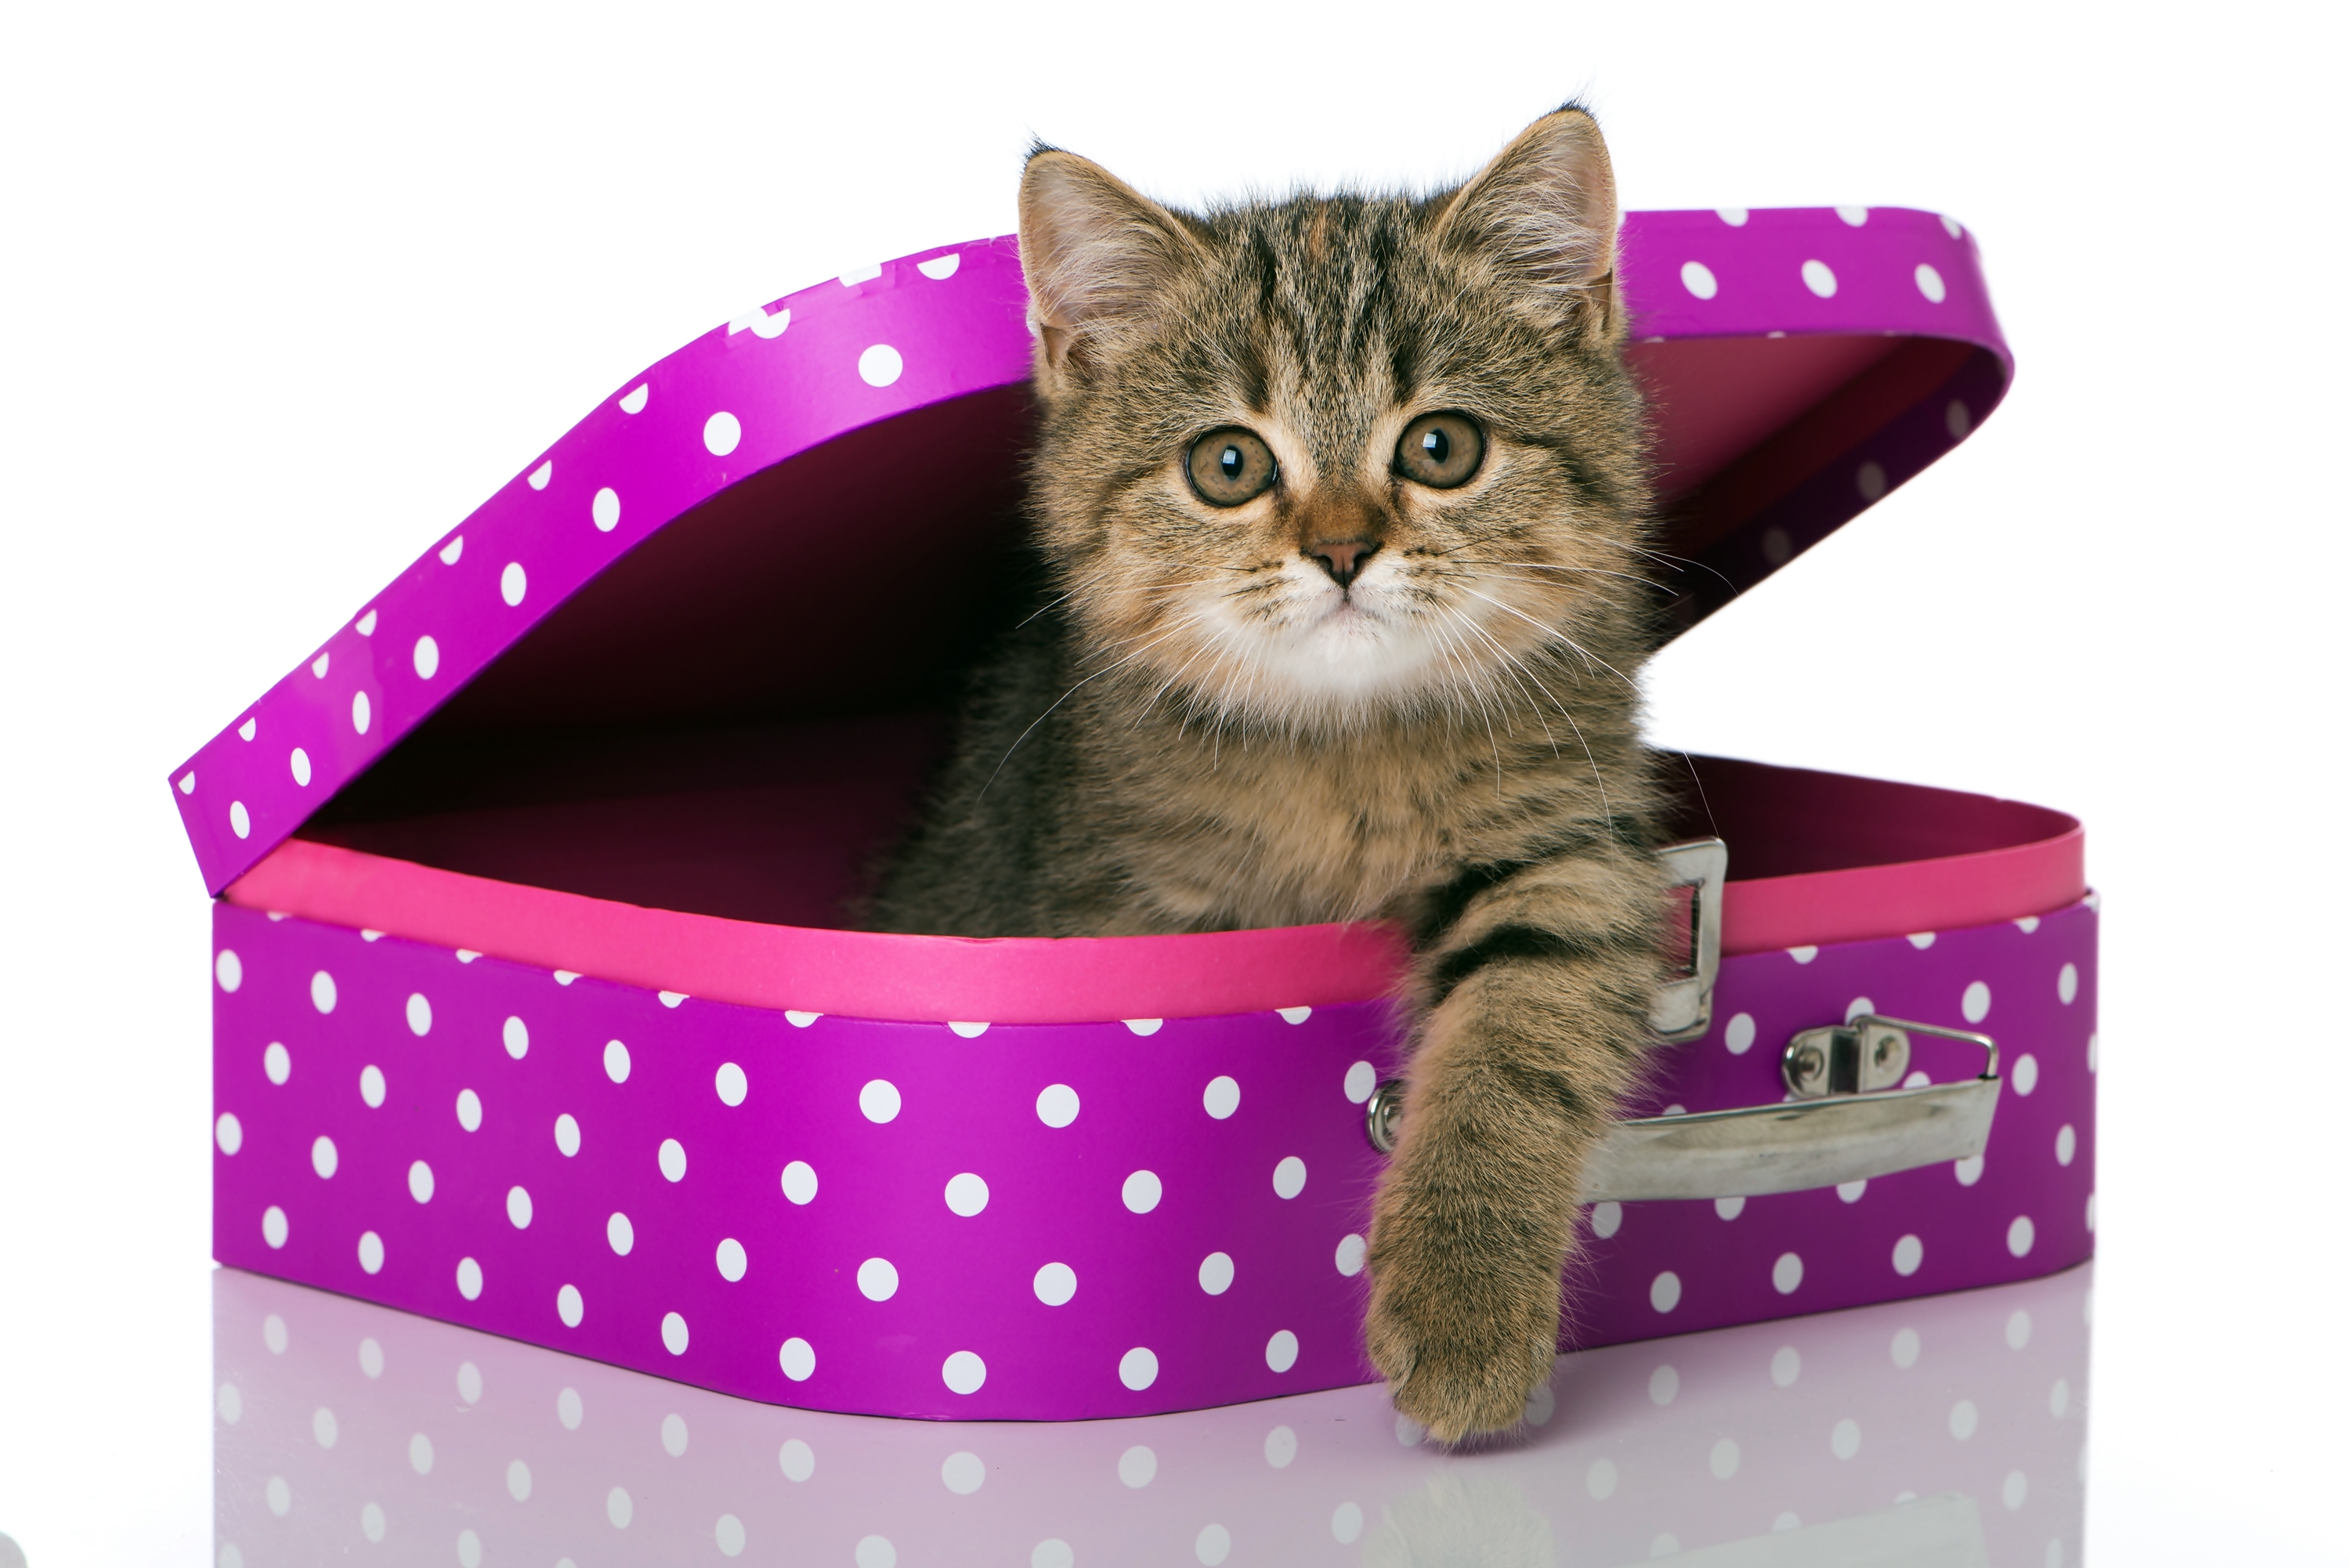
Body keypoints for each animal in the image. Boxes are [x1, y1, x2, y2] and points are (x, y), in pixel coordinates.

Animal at [866, 105, 1667, 1442]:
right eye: (1229, 466)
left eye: (1441, 447)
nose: (1341, 549)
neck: (1345, 754)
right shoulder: (1126, 910)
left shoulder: (1571, 853)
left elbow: (1514, 1046)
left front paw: (1465, 1292)